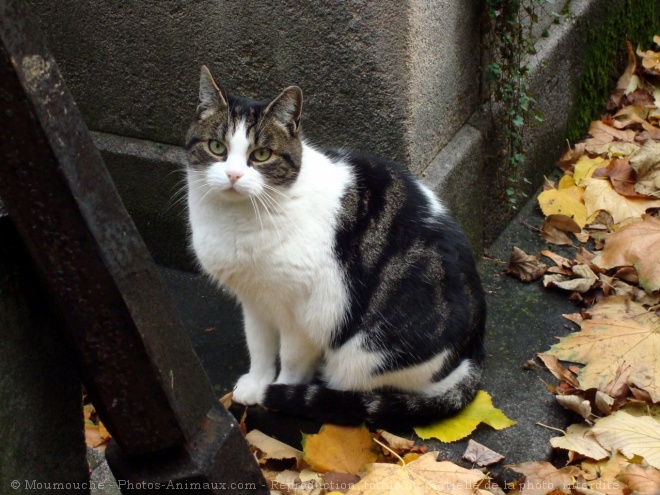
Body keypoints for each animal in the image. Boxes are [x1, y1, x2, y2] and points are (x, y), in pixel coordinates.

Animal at [184, 67, 484, 430]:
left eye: (261, 155)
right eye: (217, 147)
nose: (232, 175)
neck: (238, 221)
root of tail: (473, 351)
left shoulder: (305, 310)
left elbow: (292, 359)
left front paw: (279, 392)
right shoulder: (254, 299)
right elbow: (258, 345)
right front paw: (256, 384)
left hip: (364, 353)